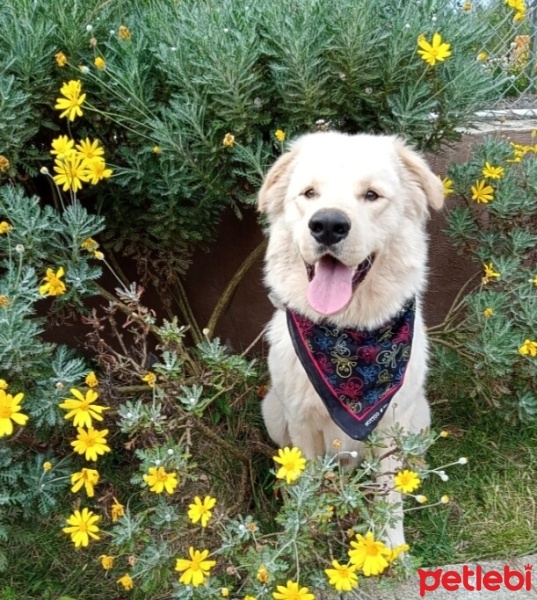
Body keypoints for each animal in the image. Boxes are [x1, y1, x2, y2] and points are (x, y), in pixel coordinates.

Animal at [258, 132, 442, 548]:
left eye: (371, 195)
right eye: (309, 193)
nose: (327, 225)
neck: (346, 335)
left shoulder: (391, 426)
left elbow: (388, 492)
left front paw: (389, 547)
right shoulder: (301, 425)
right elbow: (307, 482)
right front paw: (305, 534)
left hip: (419, 416)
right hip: (273, 411)